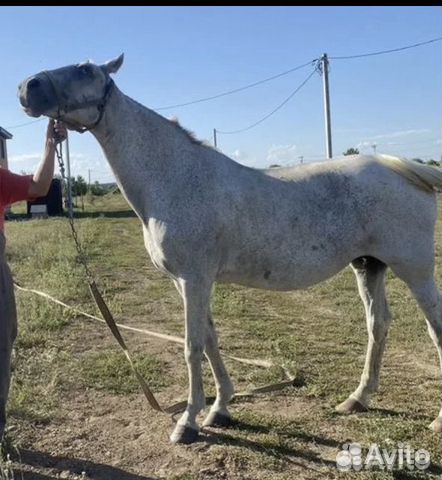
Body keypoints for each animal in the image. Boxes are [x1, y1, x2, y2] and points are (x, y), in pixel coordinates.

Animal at [19, 55, 442, 442]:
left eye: (85, 69)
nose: (27, 86)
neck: (175, 177)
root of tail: (405, 168)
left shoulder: (194, 279)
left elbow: (191, 346)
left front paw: (187, 422)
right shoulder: (187, 282)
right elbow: (210, 340)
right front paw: (219, 408)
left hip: (415, 270)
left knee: (432, 328)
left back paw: (435, 420)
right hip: (368, 265)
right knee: (378, 325)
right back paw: (357, 399)